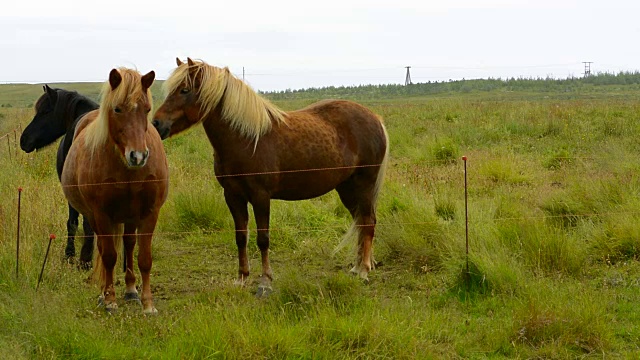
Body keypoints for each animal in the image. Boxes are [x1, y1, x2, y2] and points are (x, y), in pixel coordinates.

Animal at [60, 67, 168, 312]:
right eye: (117, 109)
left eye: (147, 109)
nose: (138, 156)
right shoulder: (101, 214)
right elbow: (108, 256)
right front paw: (109, 300)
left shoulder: (150, 213)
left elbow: (144, 258)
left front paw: (148, 304)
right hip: (96, 217)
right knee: (102, 248)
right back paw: (105, 294)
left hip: (129, 217)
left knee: (128, 245)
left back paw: (131, 291)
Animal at [152, 58, 388, 296]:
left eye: (184, 90)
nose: (156, 124)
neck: (246, 138)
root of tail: (375, 118)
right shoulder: (233, 196)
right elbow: (241, 237)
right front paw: (241, 278)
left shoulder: (260, 196)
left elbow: (263, 239)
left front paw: (265, 281)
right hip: (347, 189)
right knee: (361, 222)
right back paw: (357, 267)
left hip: (364, 185)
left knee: (367, 222)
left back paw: (363, 270)